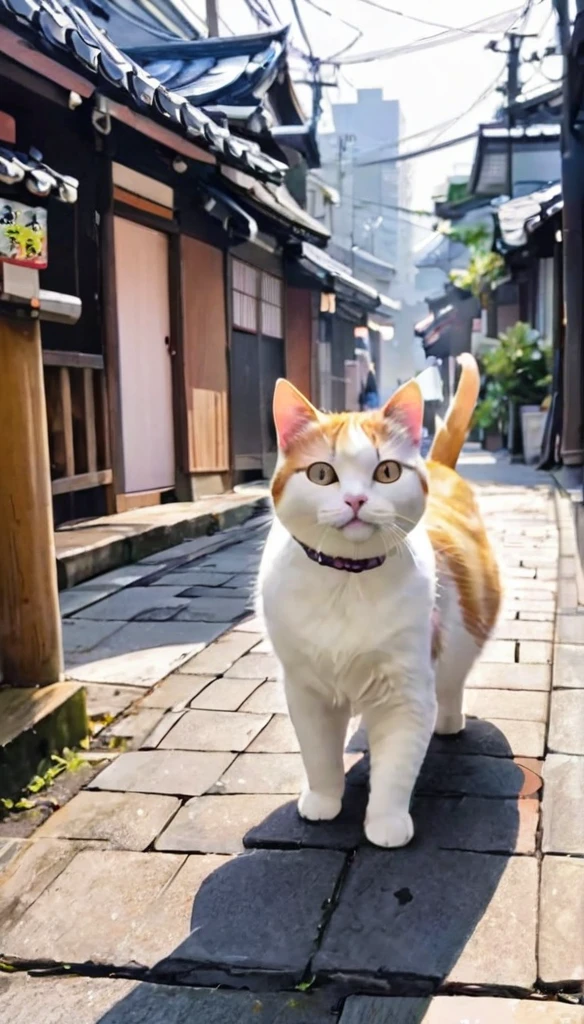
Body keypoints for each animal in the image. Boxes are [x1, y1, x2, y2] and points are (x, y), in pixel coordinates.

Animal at [257, 356, 497, 851]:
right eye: (321, 474)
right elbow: (318, 754)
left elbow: (397, 766)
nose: (355, 499)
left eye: (387, 472)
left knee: (451, 684)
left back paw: (449, 719)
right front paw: (323, 801)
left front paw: (386, 823)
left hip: (457, 645)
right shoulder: (304, 688)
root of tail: (438, 464)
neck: (347, 582)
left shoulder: (407, 690)